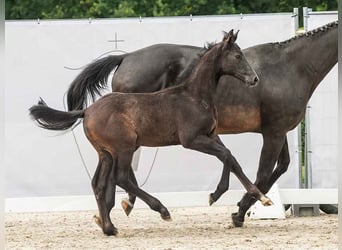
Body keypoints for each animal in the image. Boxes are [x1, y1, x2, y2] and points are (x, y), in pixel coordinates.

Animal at [30, 30, 270, 235]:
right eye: (238, 55)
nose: (254, 79)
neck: (194, 96)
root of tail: (87, 110)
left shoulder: (211, 135)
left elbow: (230, 158)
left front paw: (248, 196)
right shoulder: (192, 139)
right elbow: (226, 155)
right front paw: (249, 196)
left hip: (105, 153)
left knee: (99, 184)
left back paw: (109, 228)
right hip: (124, 148)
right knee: (121, 178)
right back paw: (161, 210)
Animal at [65, 20, 338, 226]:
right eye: (237, 55)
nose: (254, 79)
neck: (291, 67)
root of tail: (126, 57)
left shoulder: (275, 131)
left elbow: (277, 167)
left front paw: (237, 205)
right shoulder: (273, 132)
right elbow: (262, 173)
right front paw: (241, 211)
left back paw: (112, 212)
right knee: (124, 168)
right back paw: (129, 205)